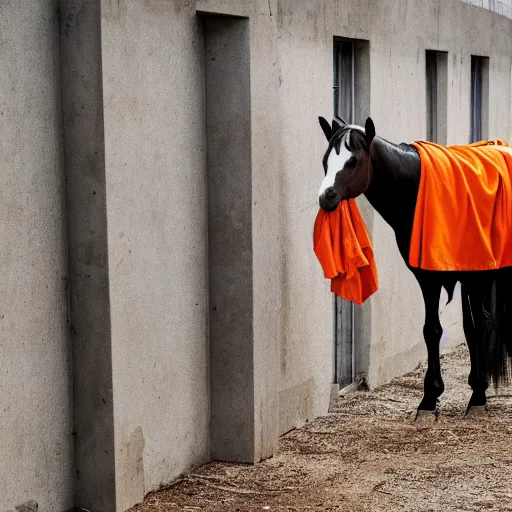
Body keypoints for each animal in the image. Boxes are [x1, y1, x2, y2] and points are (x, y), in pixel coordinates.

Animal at [318, 118, 510, 418]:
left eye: (352, 161)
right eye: (327, 160)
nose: (326, 198)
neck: (417, 189)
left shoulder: (471, 276)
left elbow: (475, 325)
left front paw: (471, 395)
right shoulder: (431, 277)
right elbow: (439, 329)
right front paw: (435, 397)